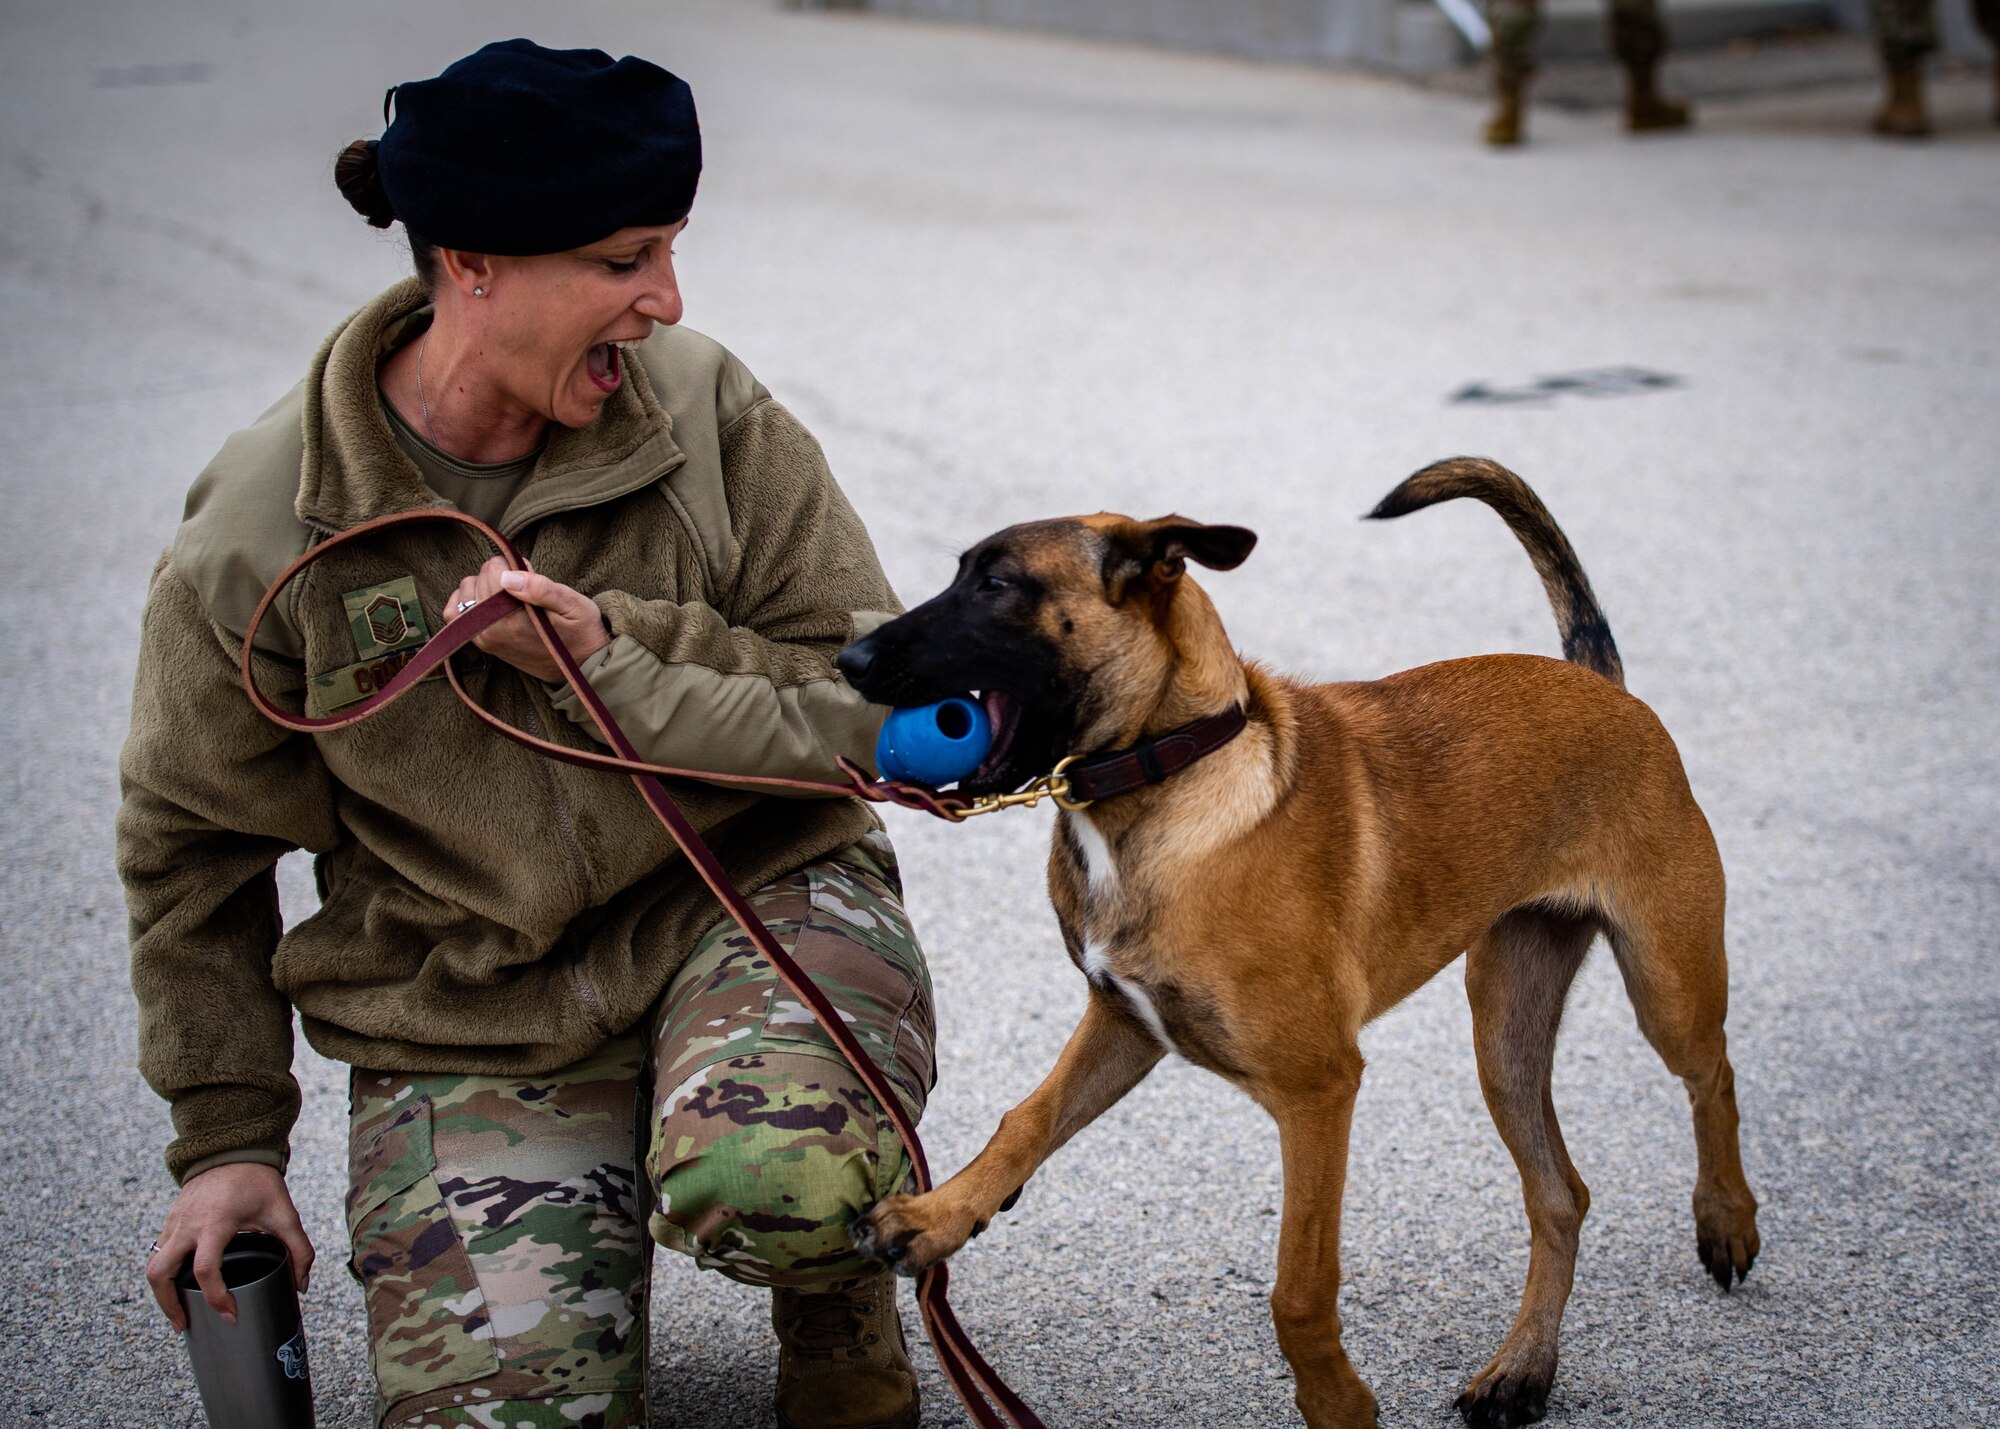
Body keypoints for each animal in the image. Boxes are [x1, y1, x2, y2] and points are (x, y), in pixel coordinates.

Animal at [836, 458, 1760, 1424]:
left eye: (999, 585)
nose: (846, 661)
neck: (1175, 773)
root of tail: (1604, 682)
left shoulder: (1320, 1090)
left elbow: (1297, 1287)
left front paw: (1337, 1402)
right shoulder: (1122, 1024)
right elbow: (1026, 1120)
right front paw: (939, 1215)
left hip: (1666, 981)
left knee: (1713, 1072)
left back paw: (1726, 1218)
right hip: (1506, 1033)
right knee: (1560, 1194)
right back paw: (1521, 1370)